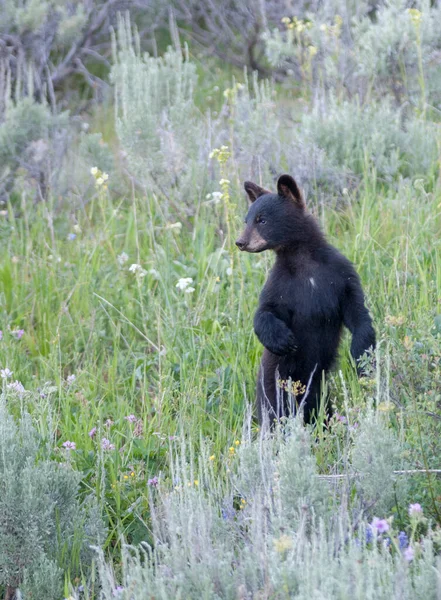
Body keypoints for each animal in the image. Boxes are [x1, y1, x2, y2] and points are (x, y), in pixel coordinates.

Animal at [234, 175, 374, 426]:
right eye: (246, 220)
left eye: (262, 220)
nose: (240, 242)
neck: (303, 262)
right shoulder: (280, 285)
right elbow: (264, 311)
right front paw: (282, 339)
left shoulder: (340, 275)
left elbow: (357, 310)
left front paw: (361, 355)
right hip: (274, 382)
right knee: (273, 410)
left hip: (319, 388)